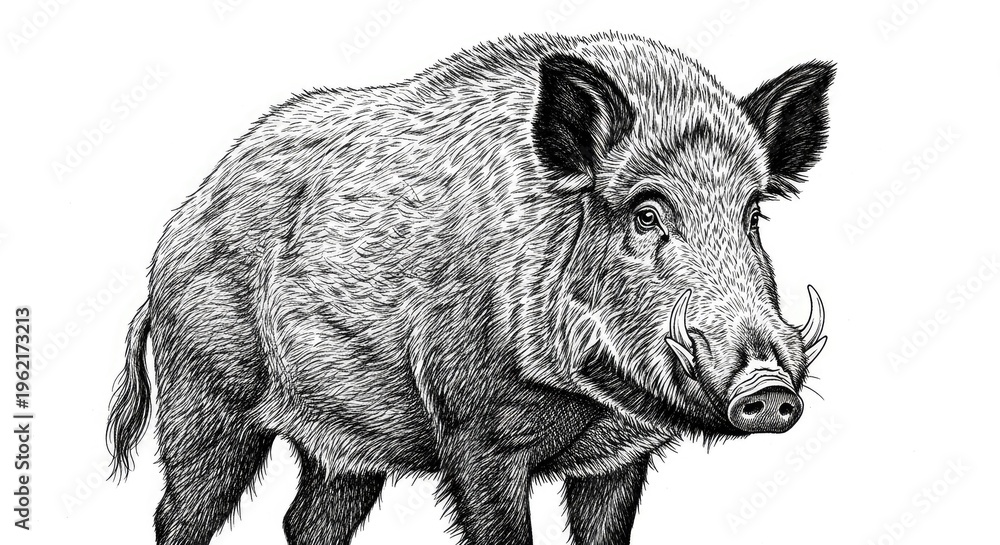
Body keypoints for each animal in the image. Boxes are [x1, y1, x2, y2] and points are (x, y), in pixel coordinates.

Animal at [106, 32, 833, 545]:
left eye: (753, 214)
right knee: (179, 514)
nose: (769, 390)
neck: (590, 401)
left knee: (307, 522)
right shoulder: (476, 434)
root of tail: (170, 242)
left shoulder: (616, 460)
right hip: (204, 395)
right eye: (646, 213)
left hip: (344, 443)